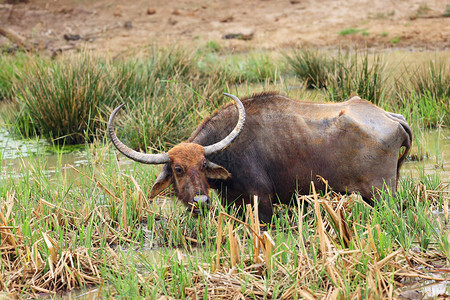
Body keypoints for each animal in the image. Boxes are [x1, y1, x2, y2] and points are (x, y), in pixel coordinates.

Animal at [108, 93, 412, 223]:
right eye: (178, 169)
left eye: (203, 165)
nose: (201, 202)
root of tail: (390, 116)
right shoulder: (233, 204)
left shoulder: (262, 203)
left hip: (381, 195)